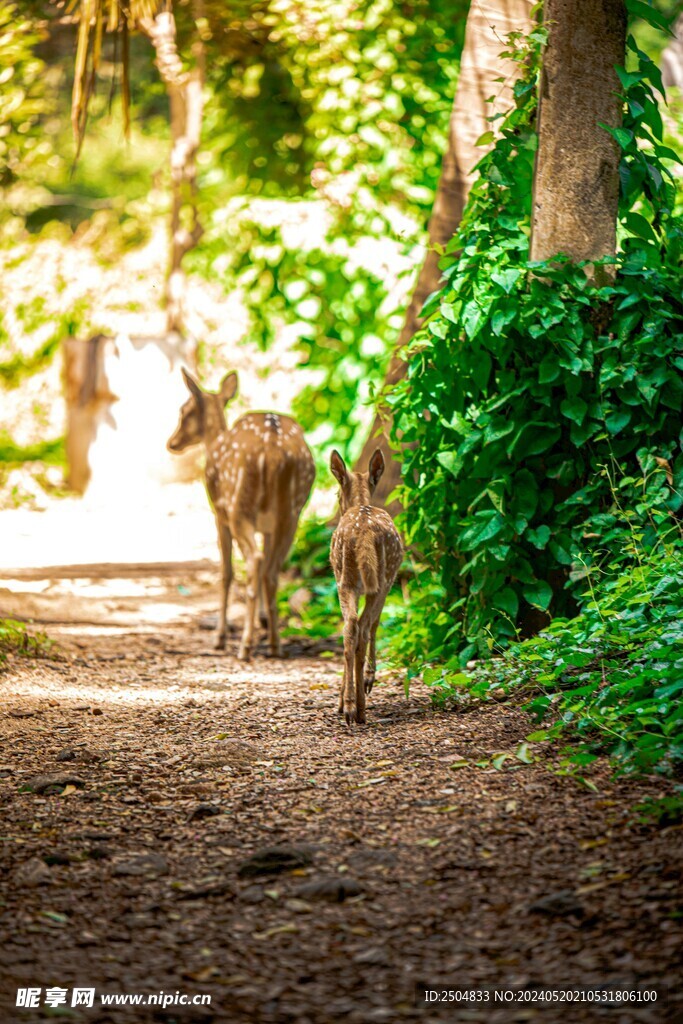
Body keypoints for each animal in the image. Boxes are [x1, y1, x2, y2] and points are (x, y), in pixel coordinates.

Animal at [167, 369, 315, 660]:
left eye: (184, 411)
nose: (172, 442)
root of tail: (273, 449)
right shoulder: (267, 527)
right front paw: (263, 620)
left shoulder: (219, 514)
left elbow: (226, 573)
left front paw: (219, 638)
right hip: (292, 512)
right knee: (271, 569)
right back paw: (274, 643)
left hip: (239, 507)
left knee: (254, 562)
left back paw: (245, 646)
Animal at [330, 448, 403, 725]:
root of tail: (364, 534)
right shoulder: (387, 583)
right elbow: (375, 624)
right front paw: (369, 678)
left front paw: (343, 699)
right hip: (379, 578)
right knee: (361, 626)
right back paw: (358, 707)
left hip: (347, 580)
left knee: (350, 627)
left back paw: (351, 706)